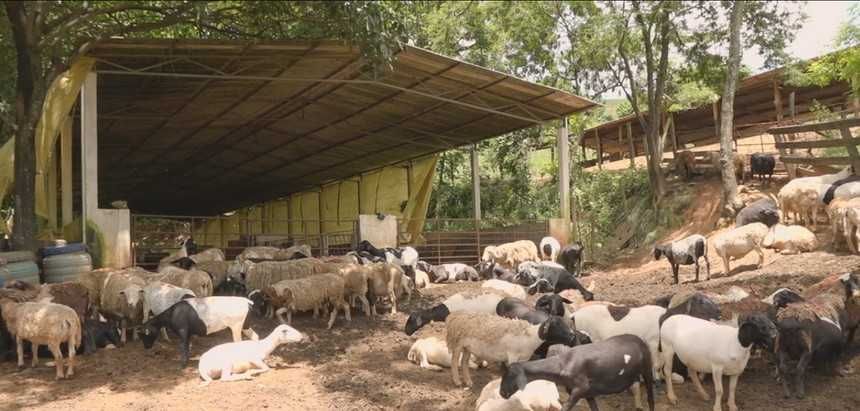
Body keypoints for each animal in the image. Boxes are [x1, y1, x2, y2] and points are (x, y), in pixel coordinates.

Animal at [445, 312, 579, 387]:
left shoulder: (524, 359)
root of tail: (455, 316)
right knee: (454, 361)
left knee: (464, 362)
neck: (531, 337)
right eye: (556, 326)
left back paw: (468, 382)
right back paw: (457, 381)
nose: (572, 335)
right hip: (457, 343)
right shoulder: (513, 356)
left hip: (467, 347)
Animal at [500, 334, 654, 411]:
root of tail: (639, 339)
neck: (562, 363)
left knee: (650, 398)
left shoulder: (581, 388)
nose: (501, 393)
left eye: (509, 375)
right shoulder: (588, 393)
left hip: (647, 370)